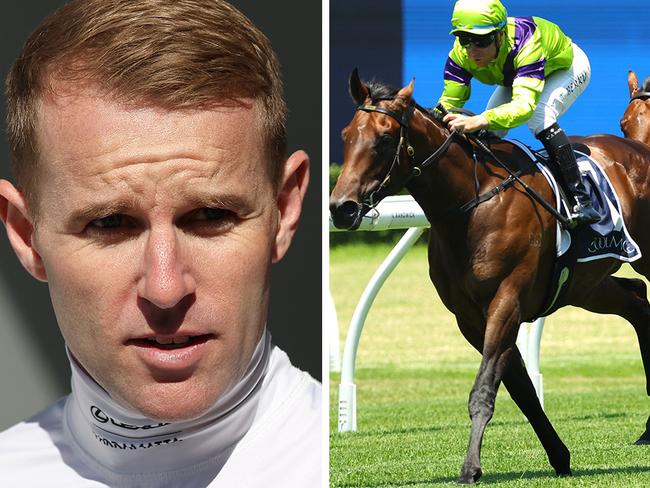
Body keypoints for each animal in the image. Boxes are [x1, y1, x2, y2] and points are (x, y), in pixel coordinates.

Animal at [332, 69, 648, 484]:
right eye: (346, 135)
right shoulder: (470, 317)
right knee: (638, 300)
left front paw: (470, 468)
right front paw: (559, 456)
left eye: (385, 137)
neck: (472, 203)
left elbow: (483, 390)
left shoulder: (506, 300)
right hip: (585, 285)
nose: (341, 207)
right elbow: (521, 390)